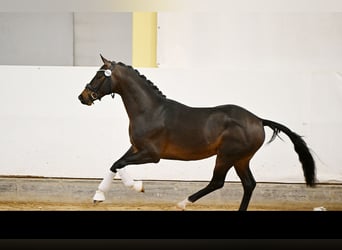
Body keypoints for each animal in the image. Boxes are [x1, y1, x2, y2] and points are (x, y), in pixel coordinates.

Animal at [78, 55, 318, 211]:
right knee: (249, 184)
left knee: (217, 182)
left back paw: (182, 203)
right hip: (241, 159)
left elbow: (119, 164)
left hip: (226, 156)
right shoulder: (136, 147)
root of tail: (258, 120)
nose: (82, 97)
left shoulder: (151, 154)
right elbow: (115, 163)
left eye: (99, 77)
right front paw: (99, 195)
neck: (150, 110)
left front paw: (137, 186)